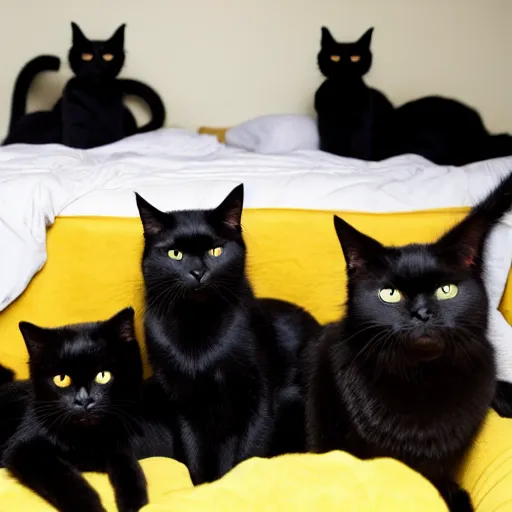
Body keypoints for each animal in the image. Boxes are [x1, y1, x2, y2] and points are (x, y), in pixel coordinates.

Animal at [1, 308, 174, 512]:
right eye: (61, 379)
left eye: (103, 375)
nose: (84, 401)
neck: (88, 438)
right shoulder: (24, 448)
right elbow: (65, 480)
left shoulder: (116, 445)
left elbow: (128, 466)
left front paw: (135, 503)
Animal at [136, 183, 320, 484]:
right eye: (175, 254)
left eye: (216, 251)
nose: (197, 272)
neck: (198, 323)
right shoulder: (183, 403)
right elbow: (194, 454)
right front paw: (203, 487)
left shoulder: (260, 394)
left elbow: (250, 449)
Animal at [314, 26, 394, 161]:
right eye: (334, 57)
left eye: (355, 57)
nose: (345, 66)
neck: (343, 93)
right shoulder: (326, 124)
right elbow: (329, 146)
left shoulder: (361, 126)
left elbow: (359, 149)